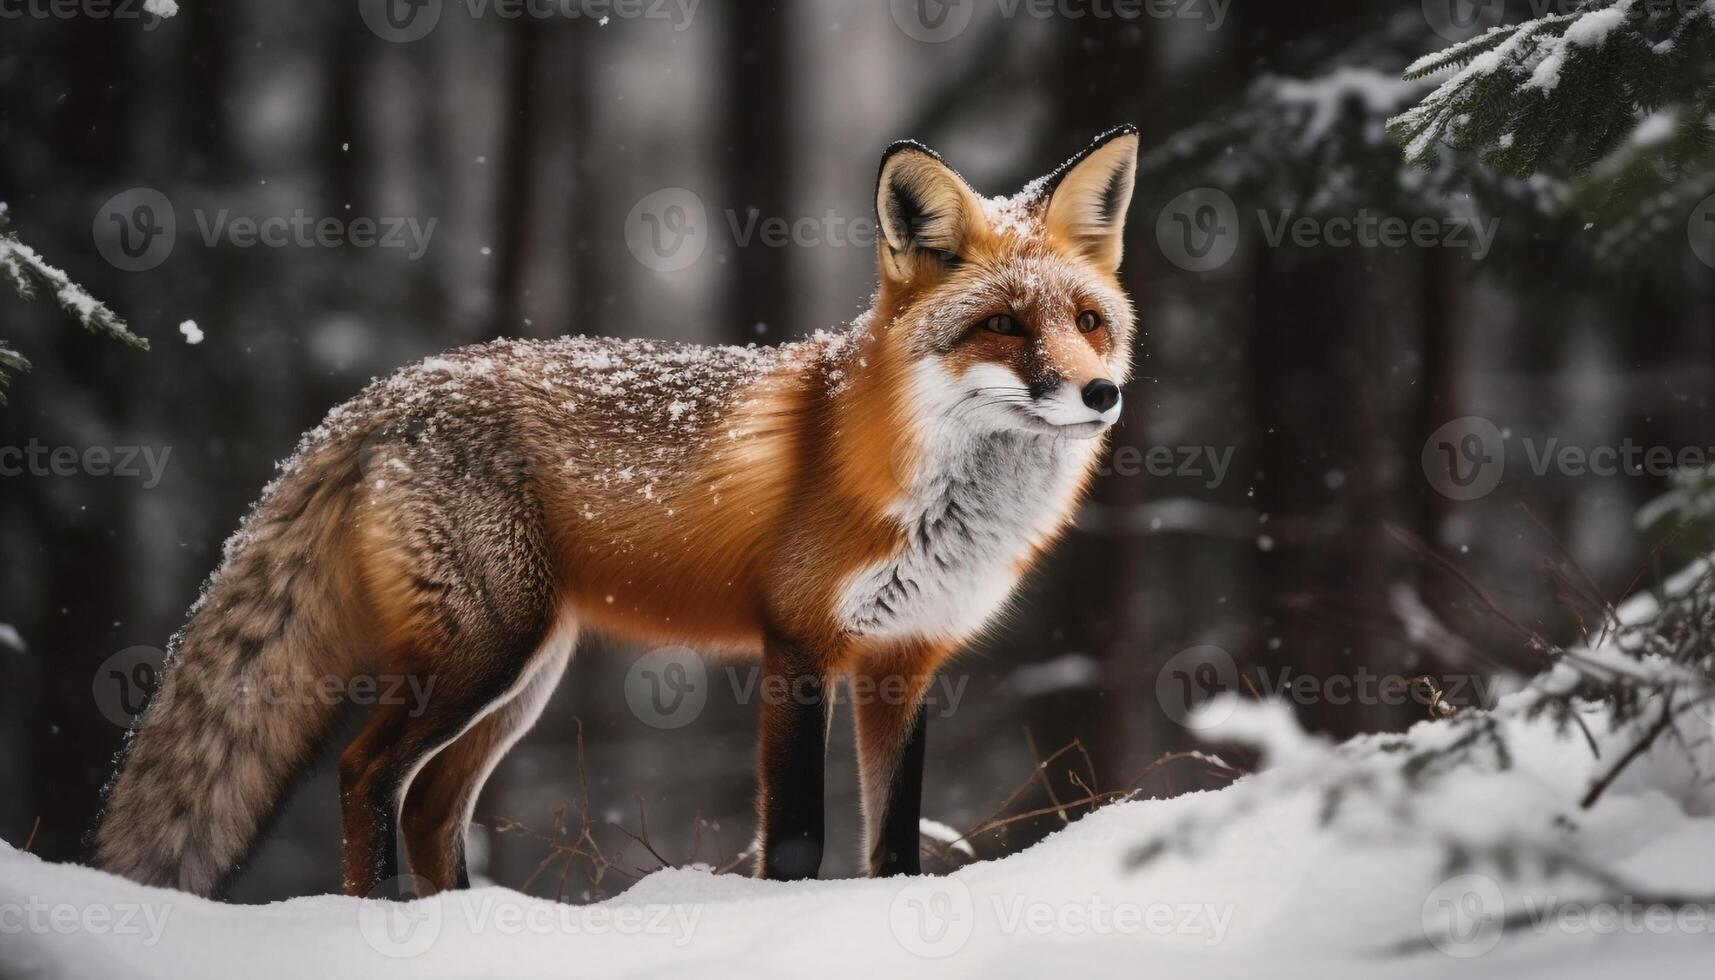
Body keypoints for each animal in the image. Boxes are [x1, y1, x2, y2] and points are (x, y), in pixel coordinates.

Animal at [93, 126, 1138, 899]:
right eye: (1001, 325)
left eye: (1088, 323)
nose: (1100, 395)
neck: (934, 500)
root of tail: (384, 391)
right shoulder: (798, 645)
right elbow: (797, 837)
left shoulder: (904, 661)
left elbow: (894, 849)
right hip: (484, 653)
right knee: (364, 774)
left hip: (524, 672)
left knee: (430, 802)